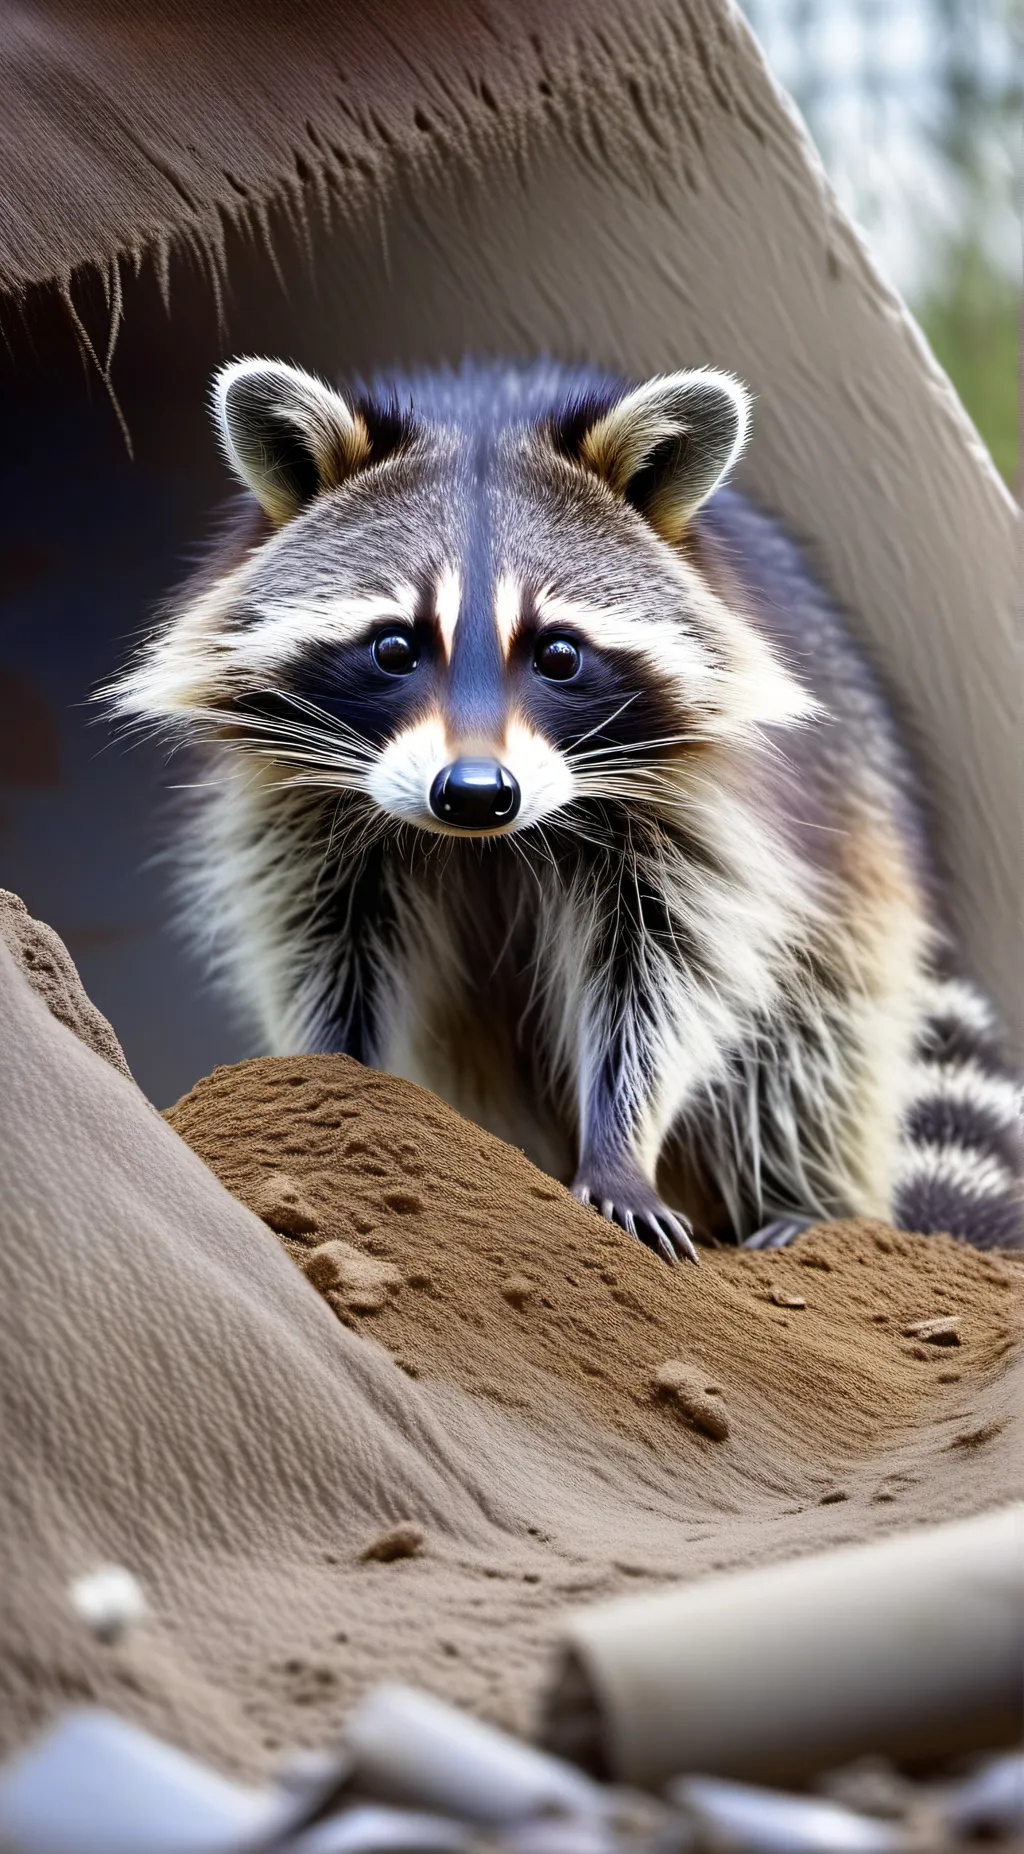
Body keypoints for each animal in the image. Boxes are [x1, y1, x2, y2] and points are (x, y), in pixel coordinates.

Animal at [108, 357, 1023, 1261]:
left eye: (557, 654)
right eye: (396, 646)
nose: (476, 793)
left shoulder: (706, 814)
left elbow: (663, 976)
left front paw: (621, 1145)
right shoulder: (302, 813)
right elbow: (325, 944)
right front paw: (328, 1077)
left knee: (816, 1044)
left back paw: (810, 1200)